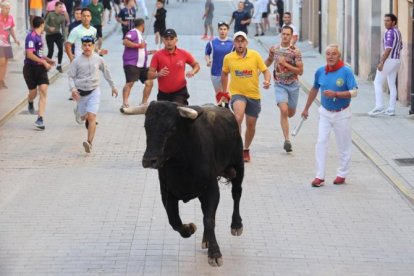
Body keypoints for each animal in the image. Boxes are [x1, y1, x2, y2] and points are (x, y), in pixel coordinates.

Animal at [142, 102, 243, 268]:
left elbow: (209, 219)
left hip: (239, 166)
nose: (149, 160)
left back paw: (236, 225)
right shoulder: (167, 193)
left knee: (237, 193)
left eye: (172, 128)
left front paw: (215, 254)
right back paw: (206, 239)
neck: (180, 164)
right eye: (146, 126)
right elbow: (174, 220)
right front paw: (189, 229)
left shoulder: (211, 190)